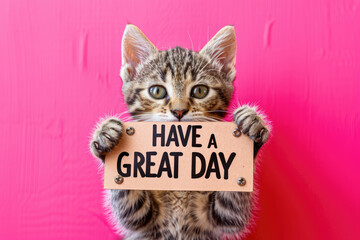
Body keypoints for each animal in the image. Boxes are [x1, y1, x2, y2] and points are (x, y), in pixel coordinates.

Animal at [90, 24, 270, 240]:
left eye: (200, 91)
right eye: (156, 91)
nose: (178, 111)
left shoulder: (220, 218)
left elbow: (232, 202)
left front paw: (252, 122)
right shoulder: (143, 221)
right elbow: (129, 201)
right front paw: (105, 135)